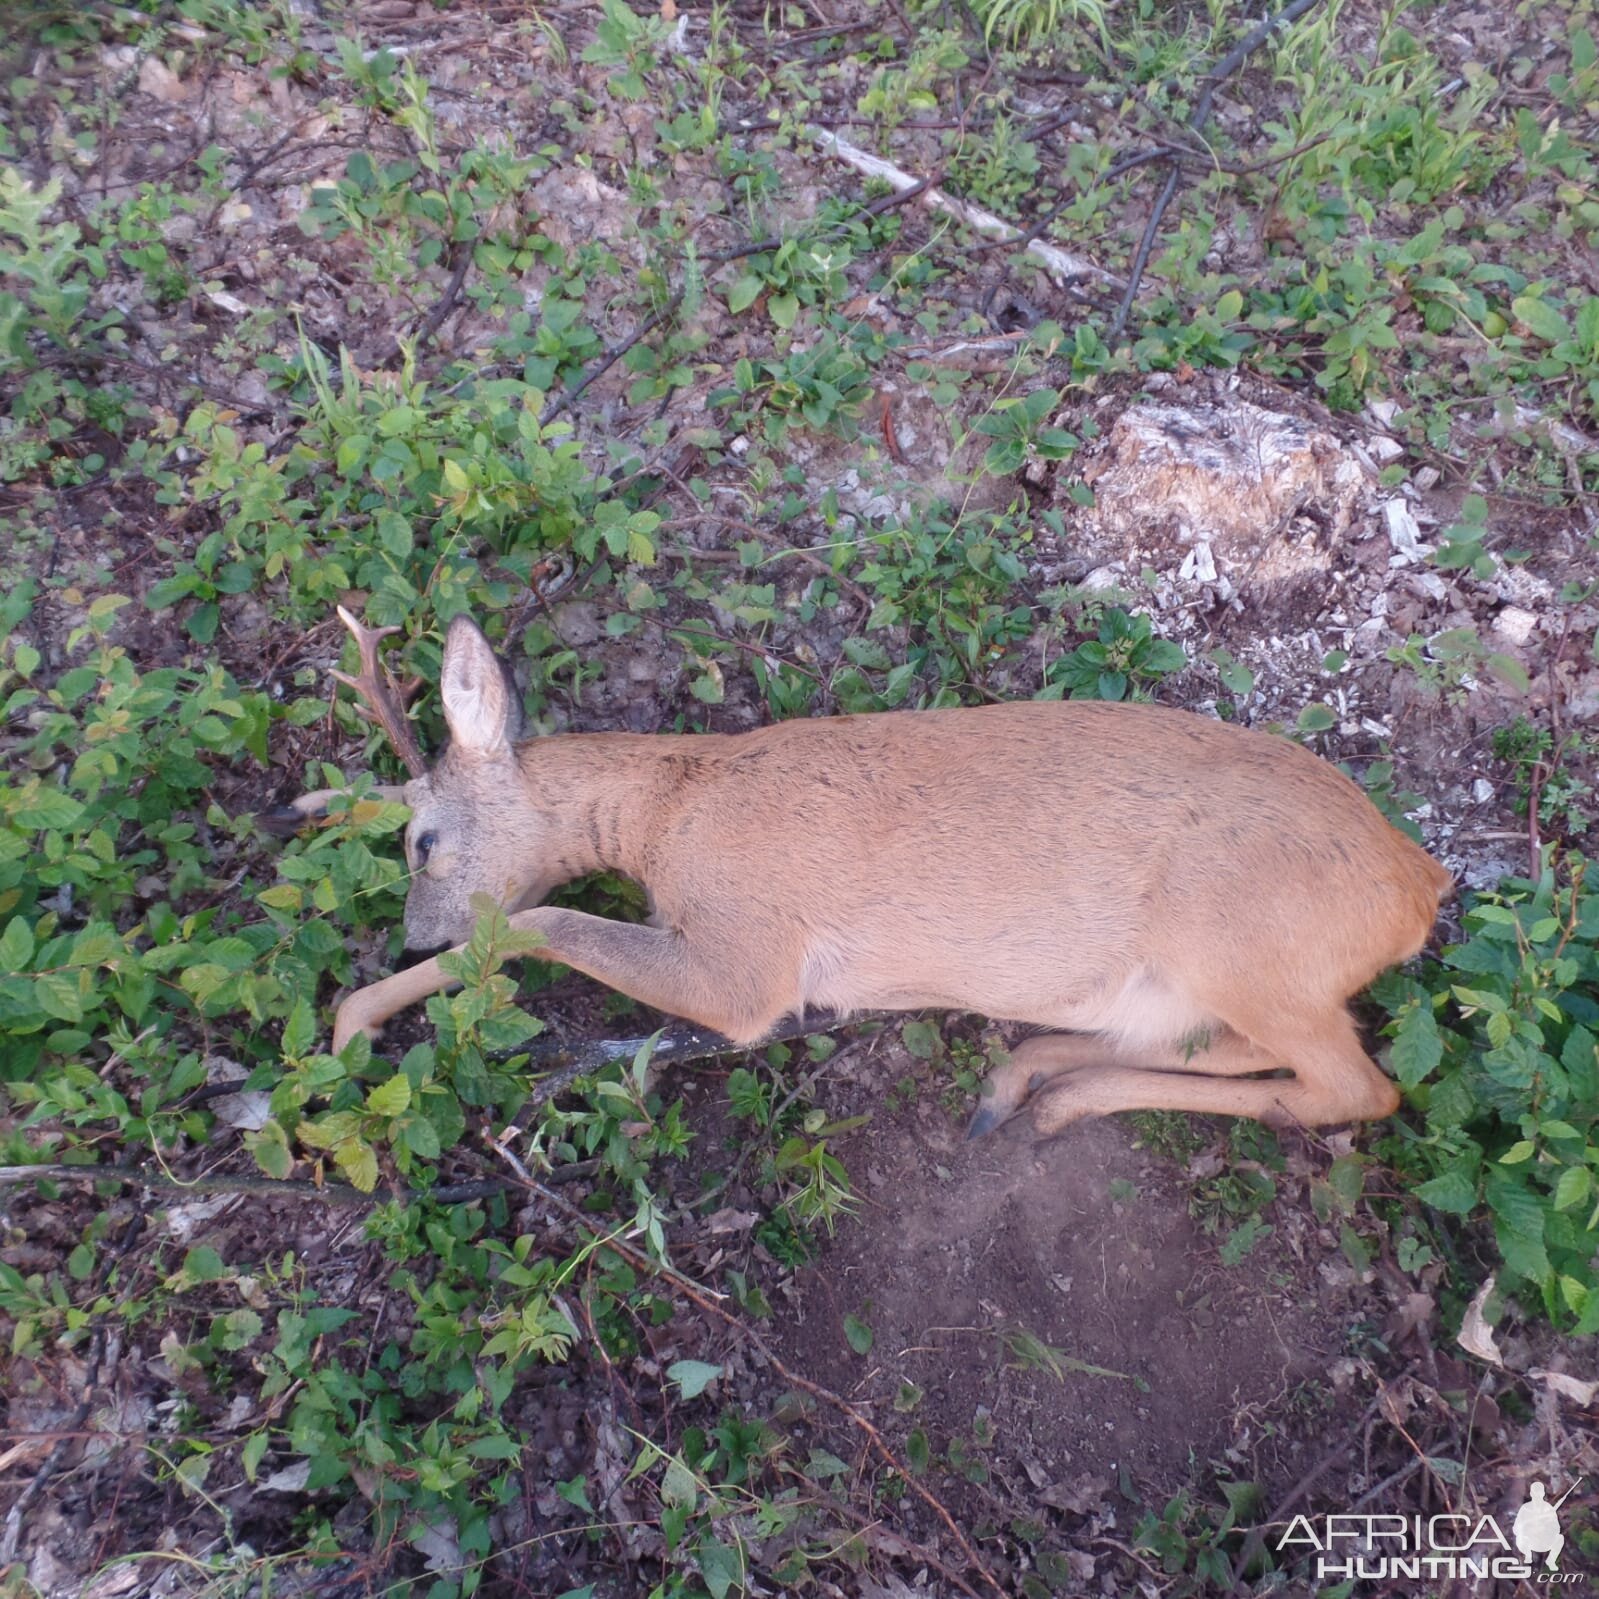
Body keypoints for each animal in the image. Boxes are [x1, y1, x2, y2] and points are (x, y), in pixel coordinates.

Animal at [268, 601, 1458, 1138]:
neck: (670, 812)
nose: (415, 932)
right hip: (1212, 979)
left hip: (1238, 936)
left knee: (1359, 1086)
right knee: (1250, 1056)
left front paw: (354, 1019)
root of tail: (1418, 885)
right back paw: (1025, 1082)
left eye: (422, 840)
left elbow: (545, 922)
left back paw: (1049, 1100)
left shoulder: (749, 960)